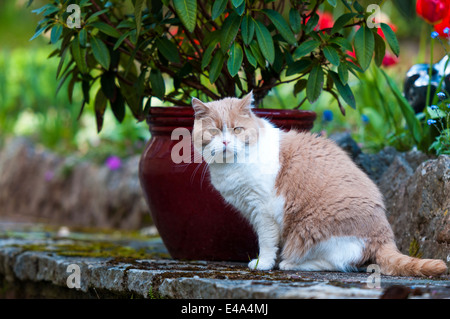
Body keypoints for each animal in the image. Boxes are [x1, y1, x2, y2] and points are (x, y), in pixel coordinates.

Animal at [192, 92, 448, 278]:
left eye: (237, 129)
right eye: (213, 130)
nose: (226, 142)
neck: (231, 167)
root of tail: (384, 235)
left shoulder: (263, 211)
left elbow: (266, 241)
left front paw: (263, 263)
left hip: (310, 230)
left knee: (337, 263)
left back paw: (290, 264)